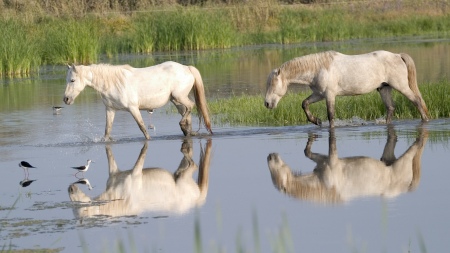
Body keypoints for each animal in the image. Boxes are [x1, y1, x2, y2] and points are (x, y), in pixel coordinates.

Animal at [62, 61, 214, 140]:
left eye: (72, 80)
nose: (66, 99)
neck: (113, 83)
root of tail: (187, 68)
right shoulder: (111, 110)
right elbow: (107, 131)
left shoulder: (133, 108)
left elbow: (142, 127)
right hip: (176, 101)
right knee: (187, 114)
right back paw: (187, 132)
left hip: (179, 97)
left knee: (191, 106)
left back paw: (183, 126)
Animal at [68, 138, 213, 217]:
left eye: (81, 210)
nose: (70, 188)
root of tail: (196, 199)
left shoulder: (135, 173)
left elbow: (142, 154)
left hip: (184, 177)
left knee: (193, 165)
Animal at [266, 50, 430, 127]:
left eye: (272, 84)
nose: (267, 103)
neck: (318, 68)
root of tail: (397, 55)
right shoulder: (319, 94)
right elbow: (304, 103)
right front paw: (316, 121)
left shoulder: (329, 95)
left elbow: (331, 115)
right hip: (384, 88)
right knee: (390, 108)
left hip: (401, 86)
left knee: (416, 101)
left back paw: (425, 120)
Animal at [268, 127, 428, 205]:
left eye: (276, 175)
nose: (269, 157)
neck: (323, 186)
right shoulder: (322, 161)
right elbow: (308, 152)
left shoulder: (331, 161)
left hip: (403, 162)